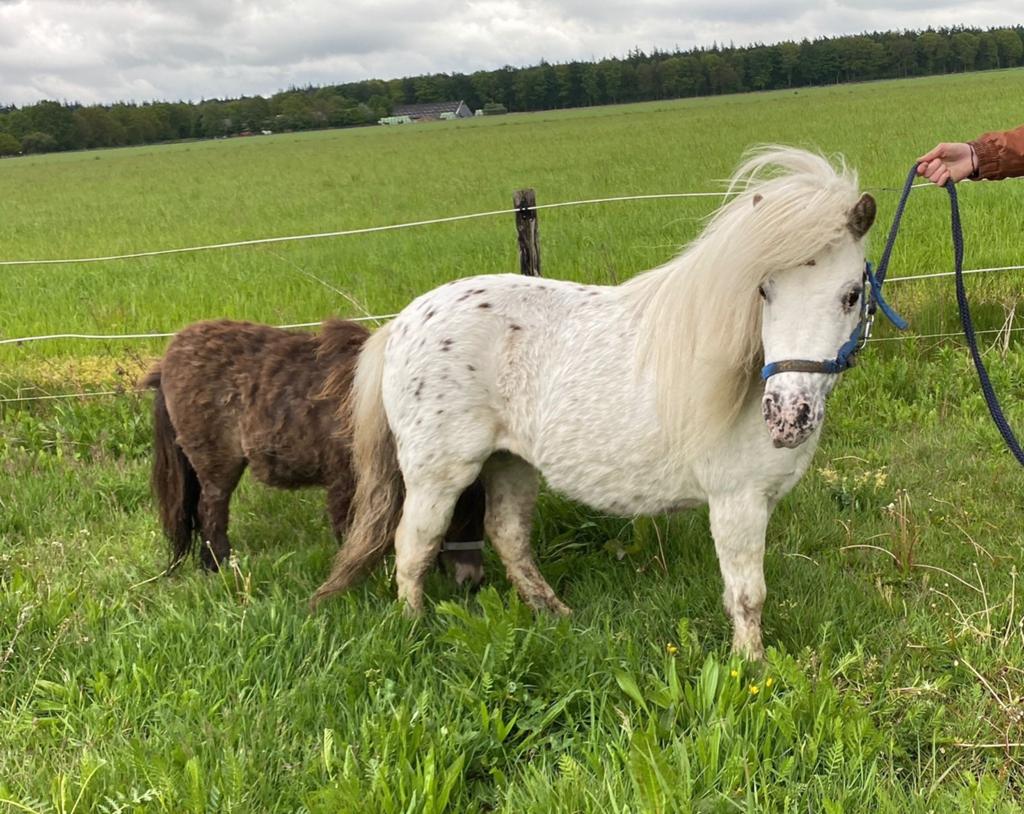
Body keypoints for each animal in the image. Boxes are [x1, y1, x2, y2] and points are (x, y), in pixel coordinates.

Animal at [141, 318, 486, 586]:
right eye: (457, 510)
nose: (474, 582)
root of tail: (167, 360)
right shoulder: (347, 481)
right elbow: (351, 532)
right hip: (216, 462)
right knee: (210, 512)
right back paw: (219, 566)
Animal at [311, 147, 878, 659]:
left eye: (851, 294)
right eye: (764, 290)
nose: (786, 417)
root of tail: (401, 324)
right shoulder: (736, 502)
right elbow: (747, 596)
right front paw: (750, 669)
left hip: (510, 461)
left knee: (507, 535)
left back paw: (554, 614)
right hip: (438, 476)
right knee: (414, 546)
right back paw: (413, 630)